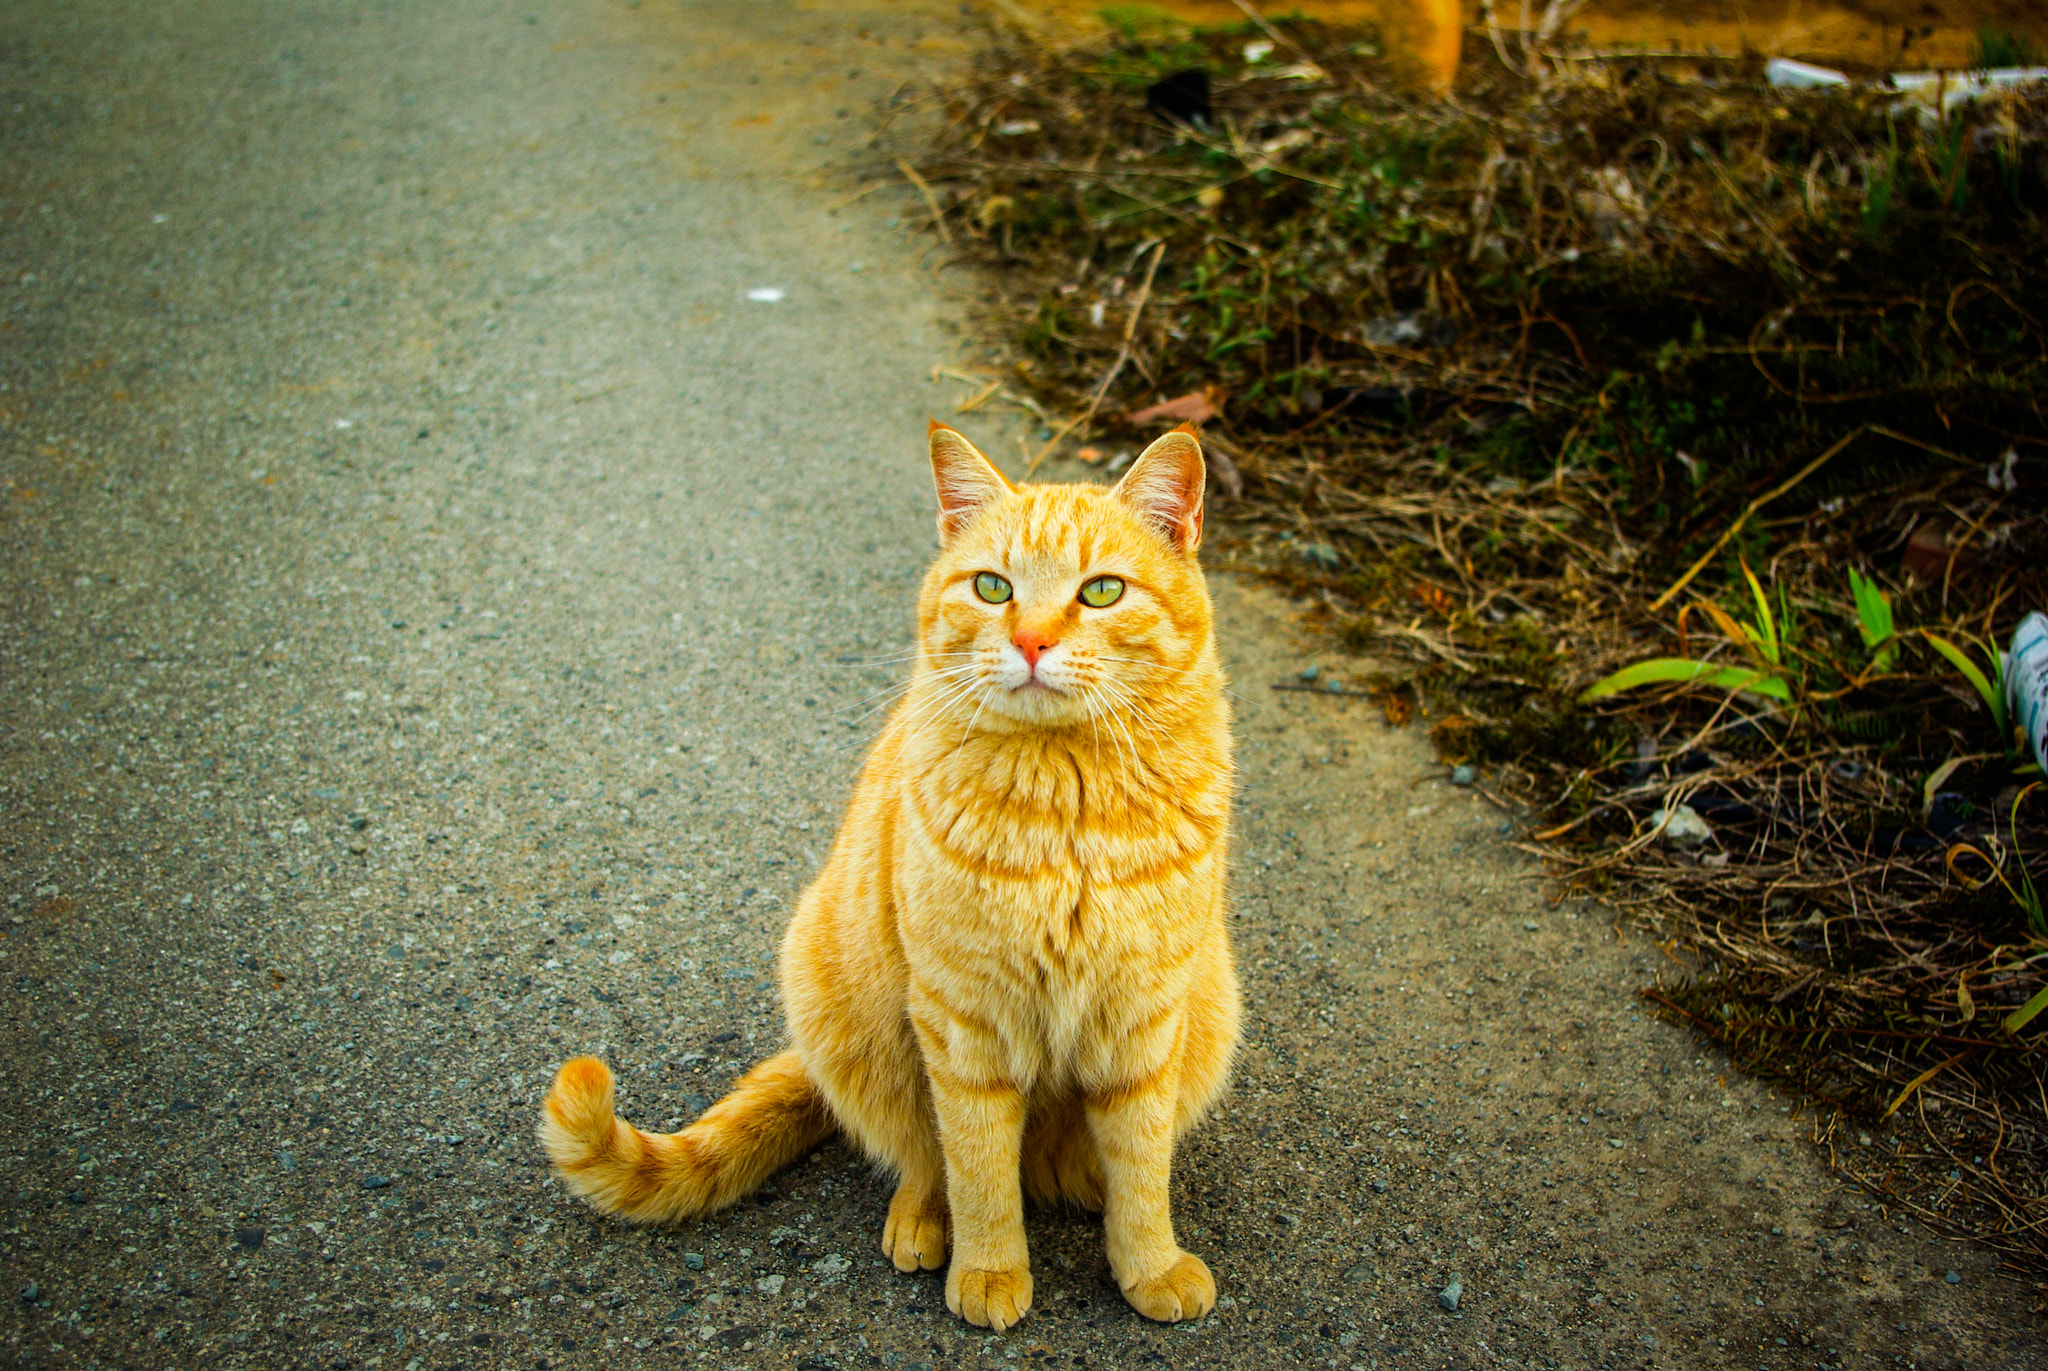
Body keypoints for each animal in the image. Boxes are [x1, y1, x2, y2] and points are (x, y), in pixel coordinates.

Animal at [540, 420, 1228, 1327]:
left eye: (1103, 591)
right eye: (993, 587)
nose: (1032, 642)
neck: (1064, 806)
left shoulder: (1145, 1016)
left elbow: (1144, 1164)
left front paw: (1146, 1261)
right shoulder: (963, 1020)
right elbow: (977, 1166)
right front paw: (991, 1267)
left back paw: (1082, 1185)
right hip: (856, 1009)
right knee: (922, 1154)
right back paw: (925, 1222)